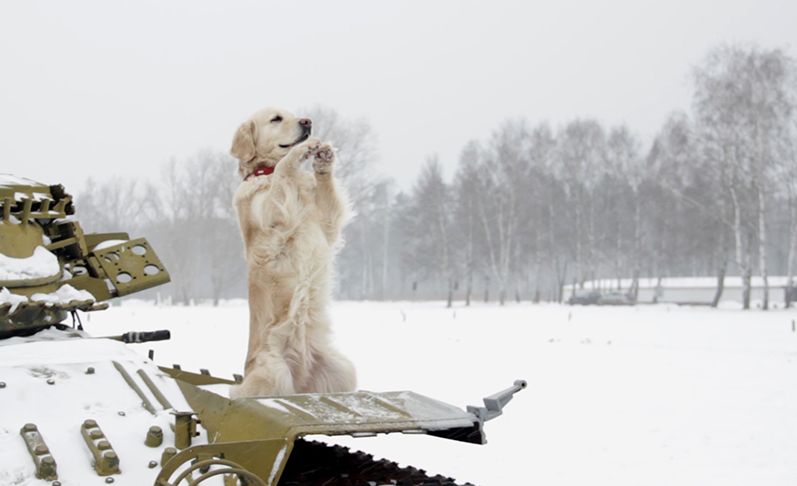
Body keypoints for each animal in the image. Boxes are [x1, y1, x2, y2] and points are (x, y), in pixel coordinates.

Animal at [229, 107, 356, 398]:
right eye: (276, 119)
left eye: (294, 114)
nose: (307, 122)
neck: (265, 170)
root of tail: (300, 379)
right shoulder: (270, 213)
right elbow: (283, 170)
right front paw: (298, 153)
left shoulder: (326, 223)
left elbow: (327, 200)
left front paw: (324, 158)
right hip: (272, 373)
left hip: (343, 369)